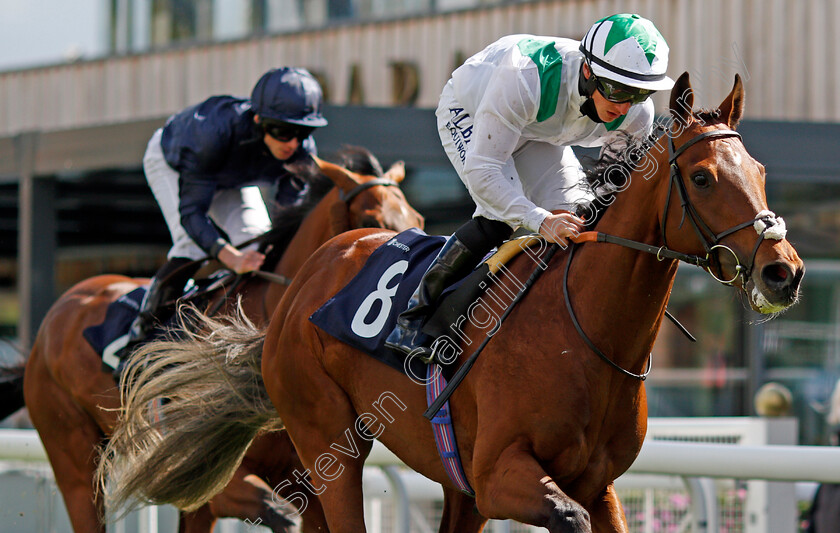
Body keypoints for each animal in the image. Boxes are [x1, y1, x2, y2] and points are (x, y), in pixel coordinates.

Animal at [0, 149, 420, 532]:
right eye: (371, 219)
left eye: (416, 219)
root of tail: (56, 315)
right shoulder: (211, 476)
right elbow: (280, 513)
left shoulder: (307, 467)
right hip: (71, 452)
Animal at [100, 71, 808, 532]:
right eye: (702, 177)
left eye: (760, 173)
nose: (784, 272)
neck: (585, 335)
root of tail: (307, 278)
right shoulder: (500, 476)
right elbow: (567, 518)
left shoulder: (596, 485)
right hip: (328, 442)